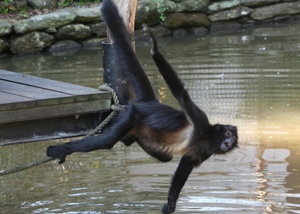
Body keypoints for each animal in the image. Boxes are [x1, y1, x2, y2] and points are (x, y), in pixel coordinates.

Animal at [47, 0, 239, 213]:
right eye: (228, 134)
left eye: (233, 139)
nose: (229, 142)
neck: (208, 139)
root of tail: (150, 103)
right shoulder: (200, 121)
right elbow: (182, 95)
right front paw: (154, 48)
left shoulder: (203, 152)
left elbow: (186, 163)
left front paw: (171, 203)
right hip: (132, 114)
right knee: (108, 141)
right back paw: (63, 149)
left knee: (163, 156)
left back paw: (129, 139)